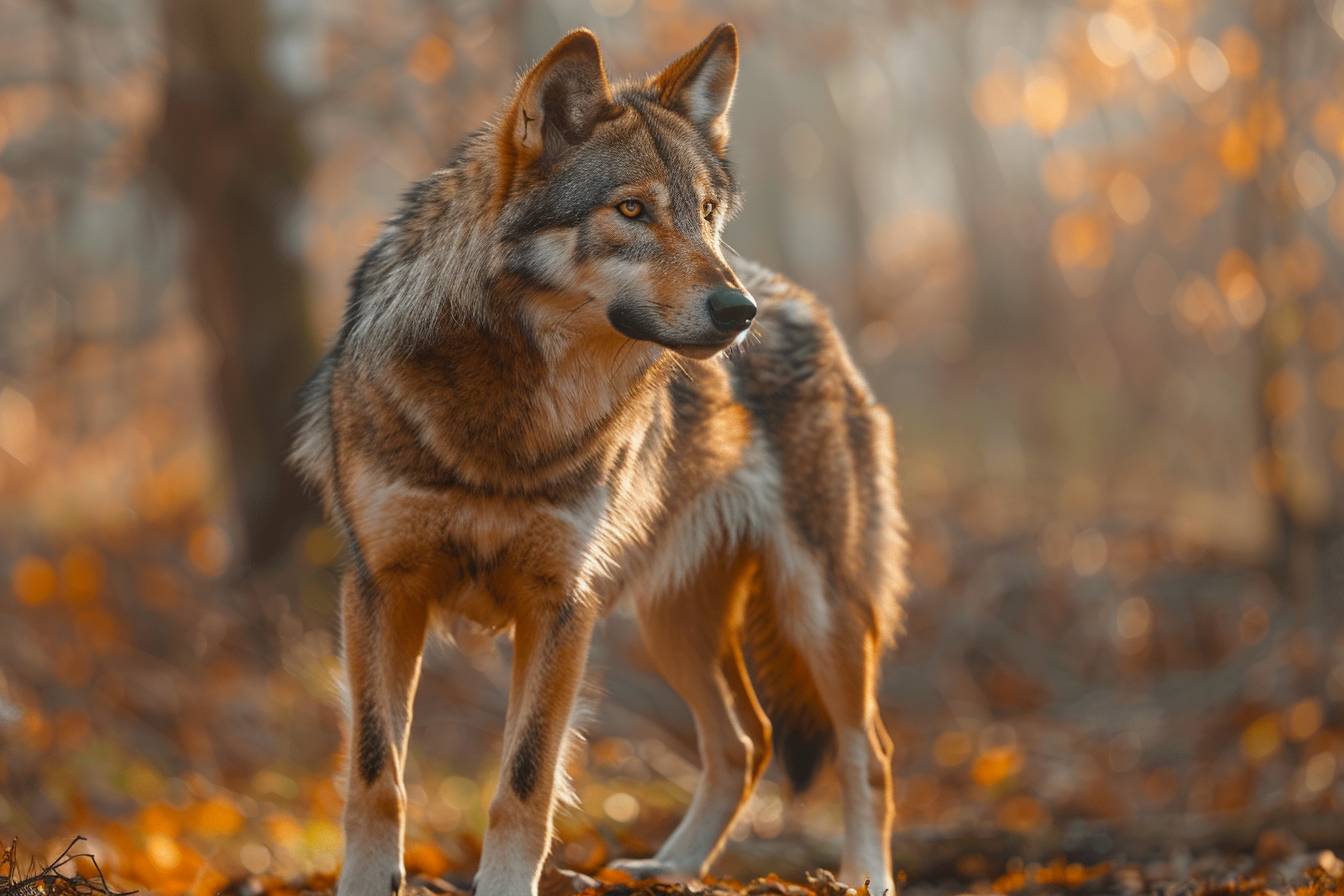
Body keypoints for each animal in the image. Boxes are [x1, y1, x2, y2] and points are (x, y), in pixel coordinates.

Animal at [292, 23, 908, 896]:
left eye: (706, 213)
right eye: (632, 210)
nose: (739, 312)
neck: (512, 407)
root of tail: (801, 299)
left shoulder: (561, 606)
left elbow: (523, 784)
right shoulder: (382, 592)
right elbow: (379, 776)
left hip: (818, 608)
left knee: (869, 751)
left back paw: (860, 877)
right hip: (672, 621)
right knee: (744, 742)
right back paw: (672, 868)